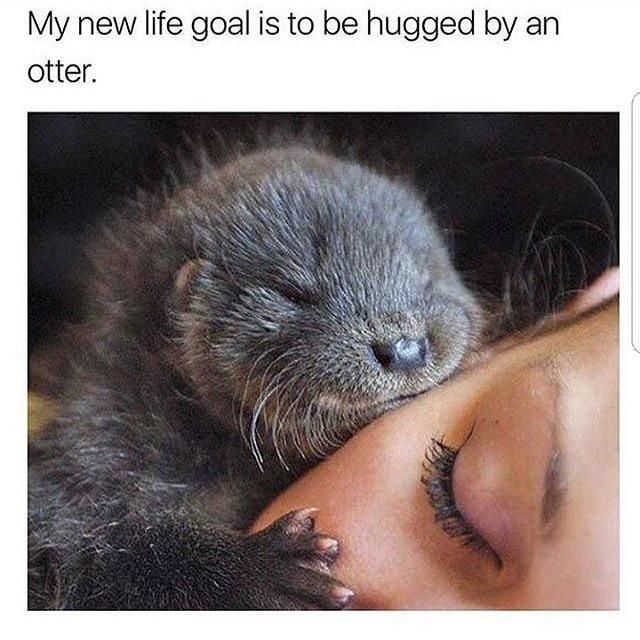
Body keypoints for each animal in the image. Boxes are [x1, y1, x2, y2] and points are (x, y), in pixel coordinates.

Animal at [28, 144, 483, 609]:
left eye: (426, 280)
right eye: (294, 293)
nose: (403, 346)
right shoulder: (92, 451)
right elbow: (94, 553)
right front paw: (261, 567)